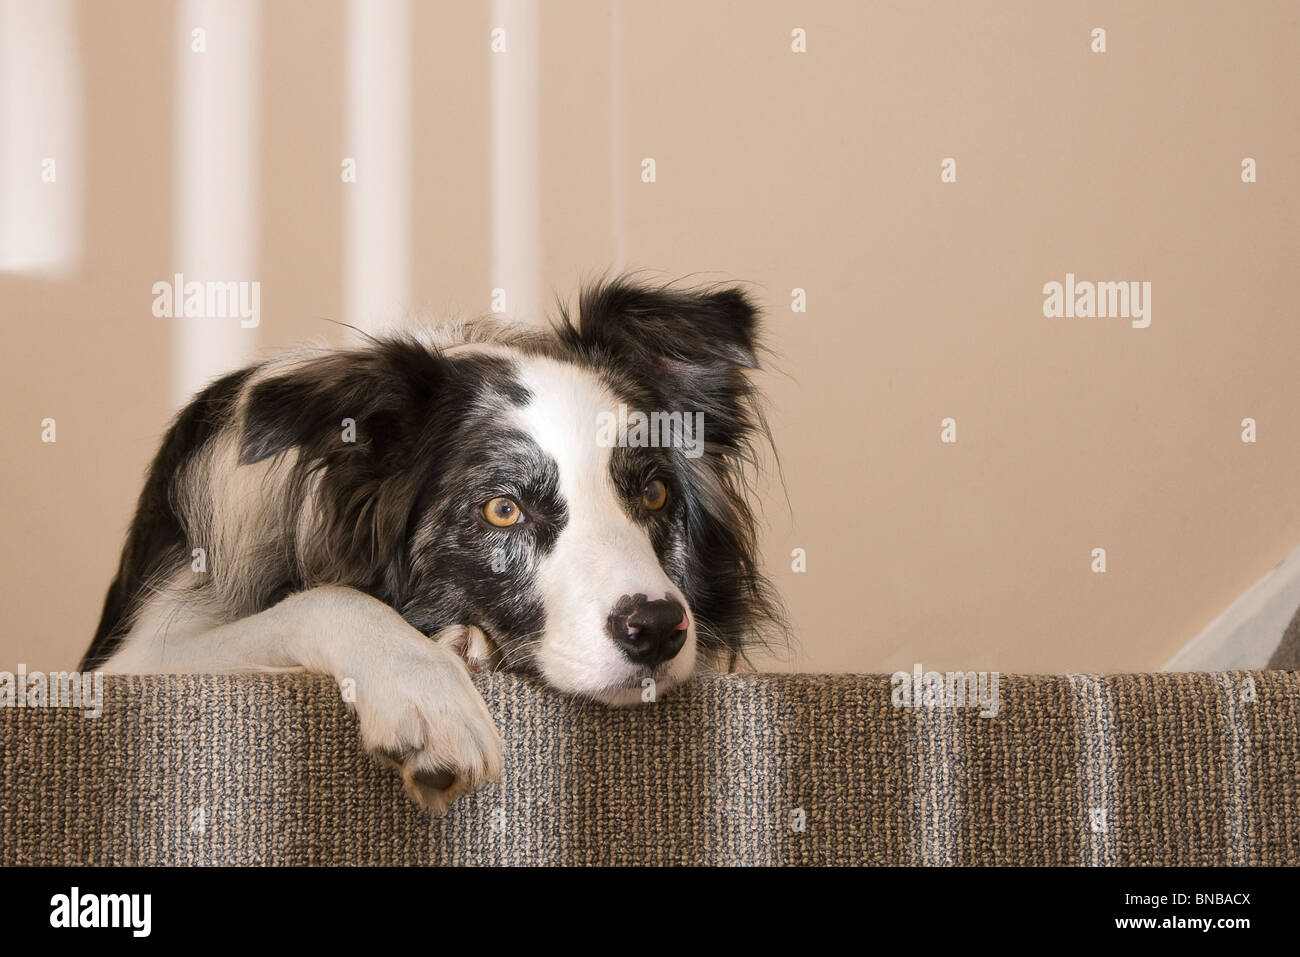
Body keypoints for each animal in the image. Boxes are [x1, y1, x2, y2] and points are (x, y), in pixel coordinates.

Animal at [86, 280, 785, 811]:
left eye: (656, 495)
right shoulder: (134, 661)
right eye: (503, 509)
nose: (658, 629)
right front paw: (428, 696)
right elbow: (324, 598)